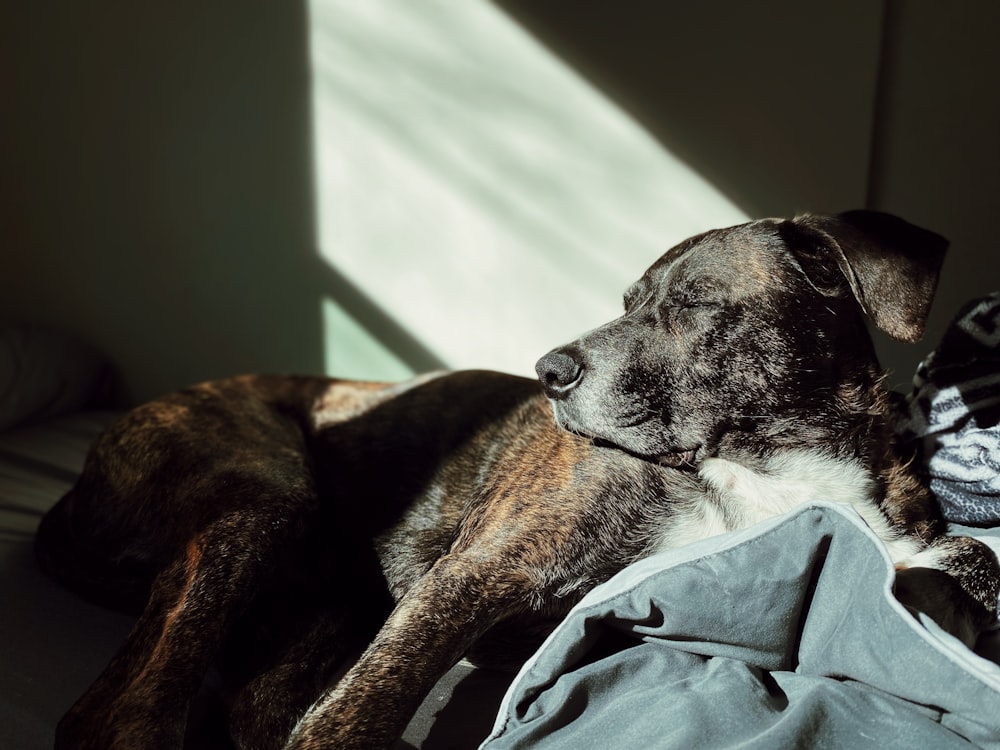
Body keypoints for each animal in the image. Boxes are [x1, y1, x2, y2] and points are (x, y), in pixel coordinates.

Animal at [37, 213, 1000, 750]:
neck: (766, 465)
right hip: (264, 502)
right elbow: (358, 711)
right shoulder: (479, 571)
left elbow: (969, 556)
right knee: (116, 715)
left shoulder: (902, 531)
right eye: (624, 302)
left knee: (253, 703)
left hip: (335, 596)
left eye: (693, 304)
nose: (549, 371)